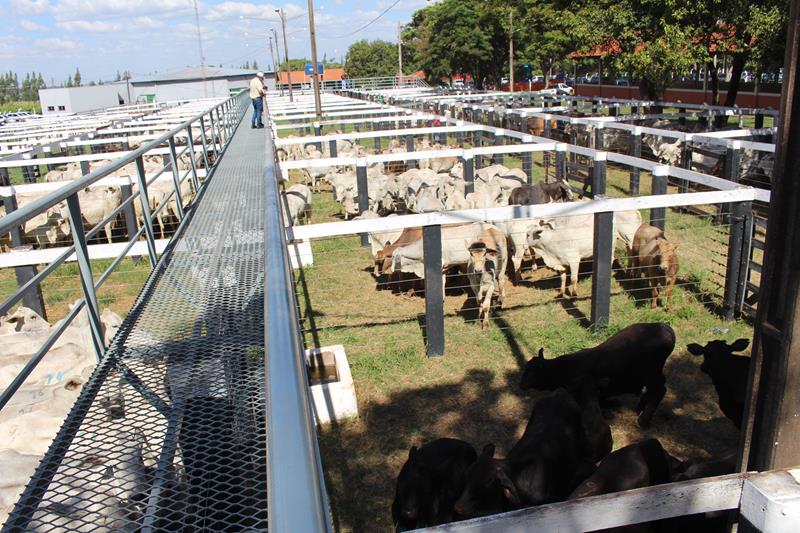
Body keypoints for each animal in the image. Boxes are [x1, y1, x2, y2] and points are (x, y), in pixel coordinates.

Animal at [520, 320, 676, 428]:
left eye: (531, 371)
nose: (521, 384)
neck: (566, 367)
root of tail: (665, 328)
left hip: (651, 374)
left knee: (659, 390)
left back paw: (643, 420)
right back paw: (639, 408)